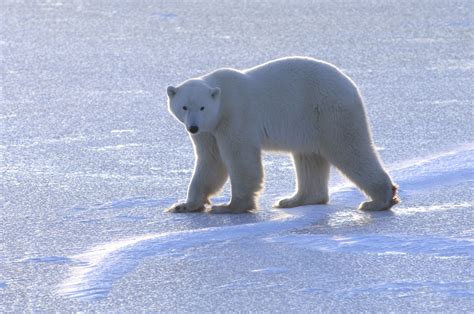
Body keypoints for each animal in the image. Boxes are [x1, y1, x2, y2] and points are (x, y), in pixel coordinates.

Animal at [165, 56, 398, 213]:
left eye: (202, 107)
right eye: (184, 107)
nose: (192, 127)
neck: (222, 101)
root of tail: (351, 85)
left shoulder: (235, 117)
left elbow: (240, 159)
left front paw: (230, 206)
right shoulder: (210, 131)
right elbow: (211, 161)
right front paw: (184, 205)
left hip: (328, 112)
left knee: (350, 150)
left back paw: (379, 200)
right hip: (308, 124)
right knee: (309, 159)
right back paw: (294, 200)